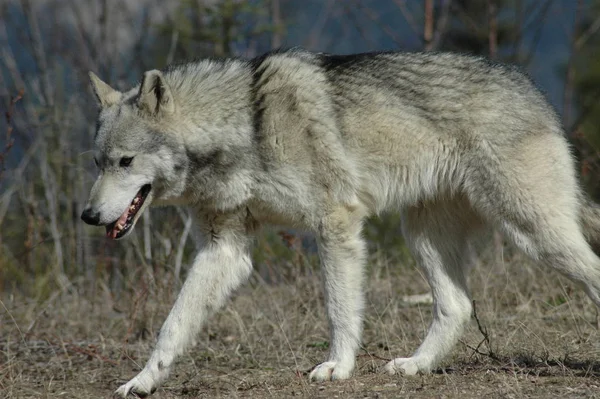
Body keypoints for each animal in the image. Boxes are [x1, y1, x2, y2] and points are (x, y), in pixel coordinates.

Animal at [81, 48, 600, 398]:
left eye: (126, 162)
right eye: (98, 163)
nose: (87, 216)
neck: (246, 127)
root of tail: (532, 90)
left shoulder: (336, 226)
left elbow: (340, 309)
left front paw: (337, 368)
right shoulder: (224, 249)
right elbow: (172, 325)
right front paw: (142, 381)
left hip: (534, 233)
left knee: (590, 273)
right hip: (424, 237)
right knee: (457, 306)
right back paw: (416, 366)